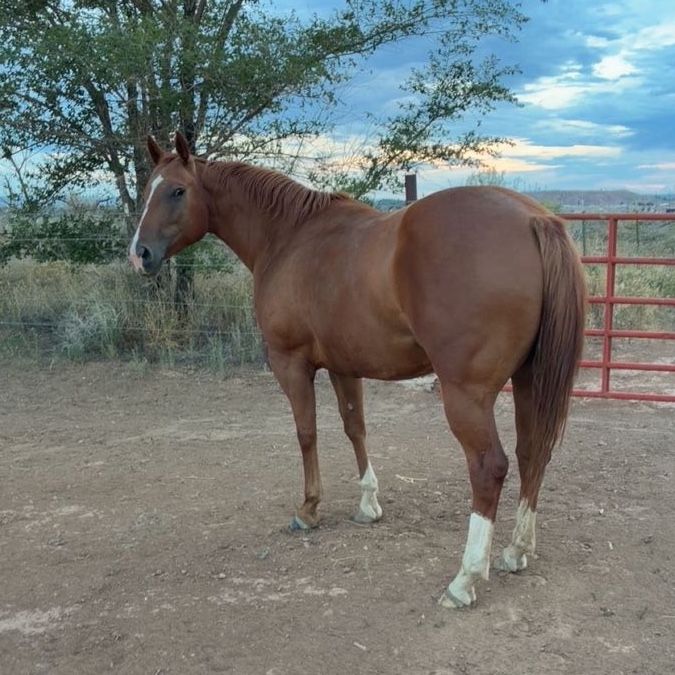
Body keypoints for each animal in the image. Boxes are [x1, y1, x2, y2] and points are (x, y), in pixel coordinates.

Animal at [129, 132, 586, 608]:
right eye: (148, 192)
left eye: (177, 191)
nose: (139, 254)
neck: (289, 237)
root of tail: (535, 220)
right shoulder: (344, 365)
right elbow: (355, 427)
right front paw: (368, 505)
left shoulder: (291, 362)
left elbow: (306, 432)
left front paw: (309, 509)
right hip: (529, 380)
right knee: (533, 452)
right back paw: (516, 551)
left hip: (467, 394)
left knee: (489, 467)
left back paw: (465, 579)